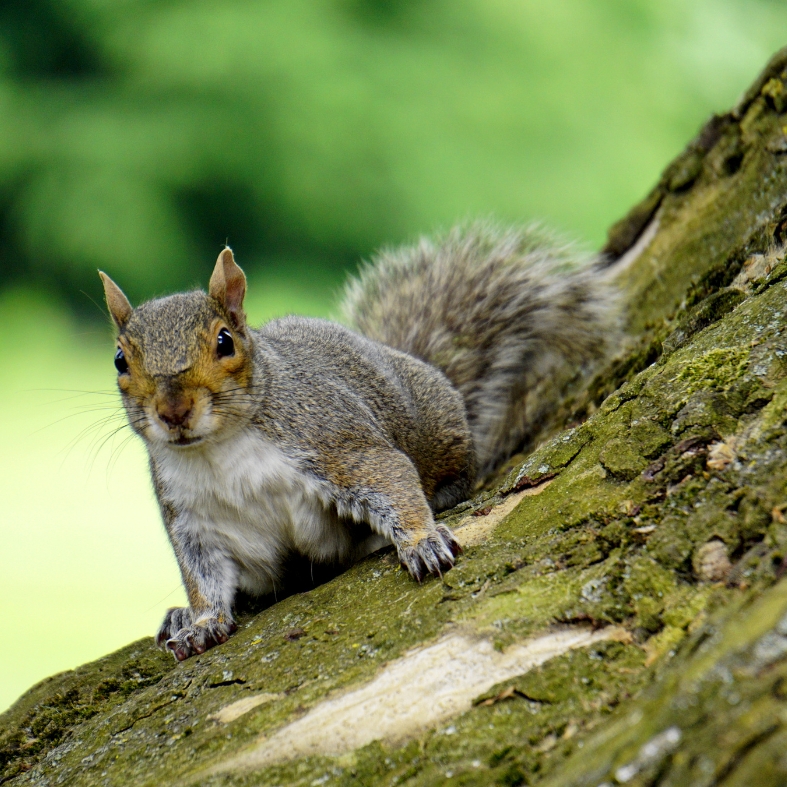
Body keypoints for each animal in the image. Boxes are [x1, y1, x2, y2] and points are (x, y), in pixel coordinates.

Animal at [98, 225, 616, 660]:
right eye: (120, 360)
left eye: (225, 341)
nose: (173, 411)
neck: (219, 450)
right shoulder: (194, 519)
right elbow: (203, 576)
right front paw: (202, 622)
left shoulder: (333, 441)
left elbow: (390, 477)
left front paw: (423, 542)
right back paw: (179, 616)